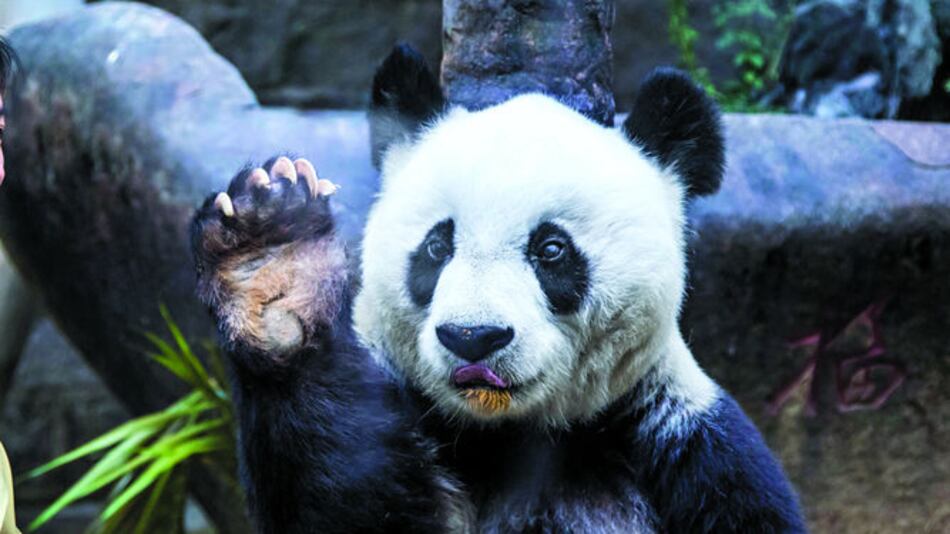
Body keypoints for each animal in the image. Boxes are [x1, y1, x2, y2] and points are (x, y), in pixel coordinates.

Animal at [191, 44, 805, 533]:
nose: (473, 337)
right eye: (437, 247)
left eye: (551, 250)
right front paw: (275, 256)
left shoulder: (680, 444)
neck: (503, 433)